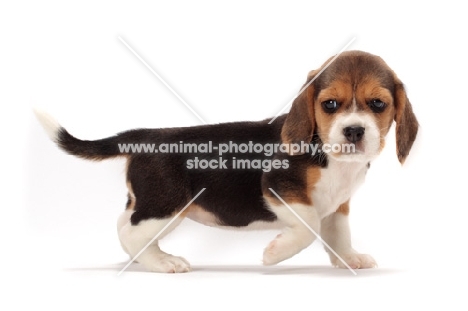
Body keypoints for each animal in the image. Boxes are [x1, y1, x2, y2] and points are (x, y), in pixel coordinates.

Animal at [34, 50, 418, 272]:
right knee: (130, 232)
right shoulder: (280, 189)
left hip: (157, 206)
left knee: (123, 224)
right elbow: (308, 226)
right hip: (166, 205)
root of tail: (145, 135)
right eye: (330, 104)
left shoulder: (339, 205)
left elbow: (338, 233)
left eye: (378, 104)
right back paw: (162, 262)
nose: (353, 131)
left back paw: (144, 259)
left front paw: (349, 259)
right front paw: (276, 254)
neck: (330, 155)